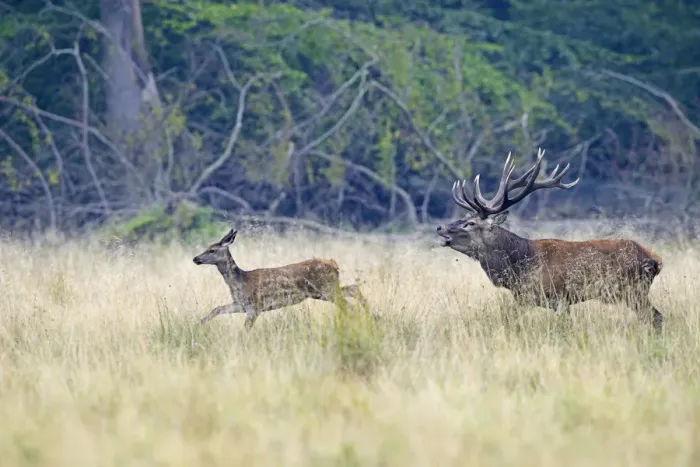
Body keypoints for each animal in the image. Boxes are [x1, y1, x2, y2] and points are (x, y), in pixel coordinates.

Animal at [192, 228, 369, 329]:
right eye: (207, 248)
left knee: (348, 302)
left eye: (212, 250)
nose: (195, 258)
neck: (240, 282)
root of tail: (334, 263)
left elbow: (245, 328)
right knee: (353, 289)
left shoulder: (255, 306)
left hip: (325, 289)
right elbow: (217, 309)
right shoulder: (241, 304)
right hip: (325, 290)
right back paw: (369, 314)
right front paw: (199, 323)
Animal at [436, 148, 665, 330]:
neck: (520, 267)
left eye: (470, 223)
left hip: (632, 290)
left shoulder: (555, 297)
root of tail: (655, 260)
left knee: (655, 317)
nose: (440, 227)